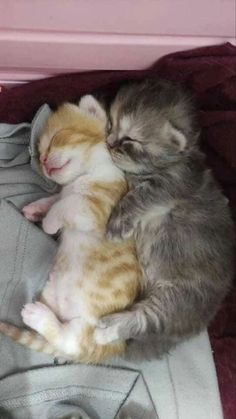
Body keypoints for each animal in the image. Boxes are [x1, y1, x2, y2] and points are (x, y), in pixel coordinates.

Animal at [0, 95, 140, 364]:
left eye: (57, 138)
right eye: (41, 151)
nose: (44, 161)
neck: (86, 174)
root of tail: (113, 349)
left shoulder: (96, 211)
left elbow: (64, 206)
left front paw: (48, 223)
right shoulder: (73, 197)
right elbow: (57, 199)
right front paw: (36, 209)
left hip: (91, 329)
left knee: (71, 342)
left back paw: (37, 315)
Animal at [94, 78, 236, 358]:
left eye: (130, 139)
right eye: (111, 124)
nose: (110, 143)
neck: (174, 161)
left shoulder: (169, 185)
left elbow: (137, 199)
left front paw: (117, 226)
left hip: (178, 300)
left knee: (145, 320)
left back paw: (107, 329)